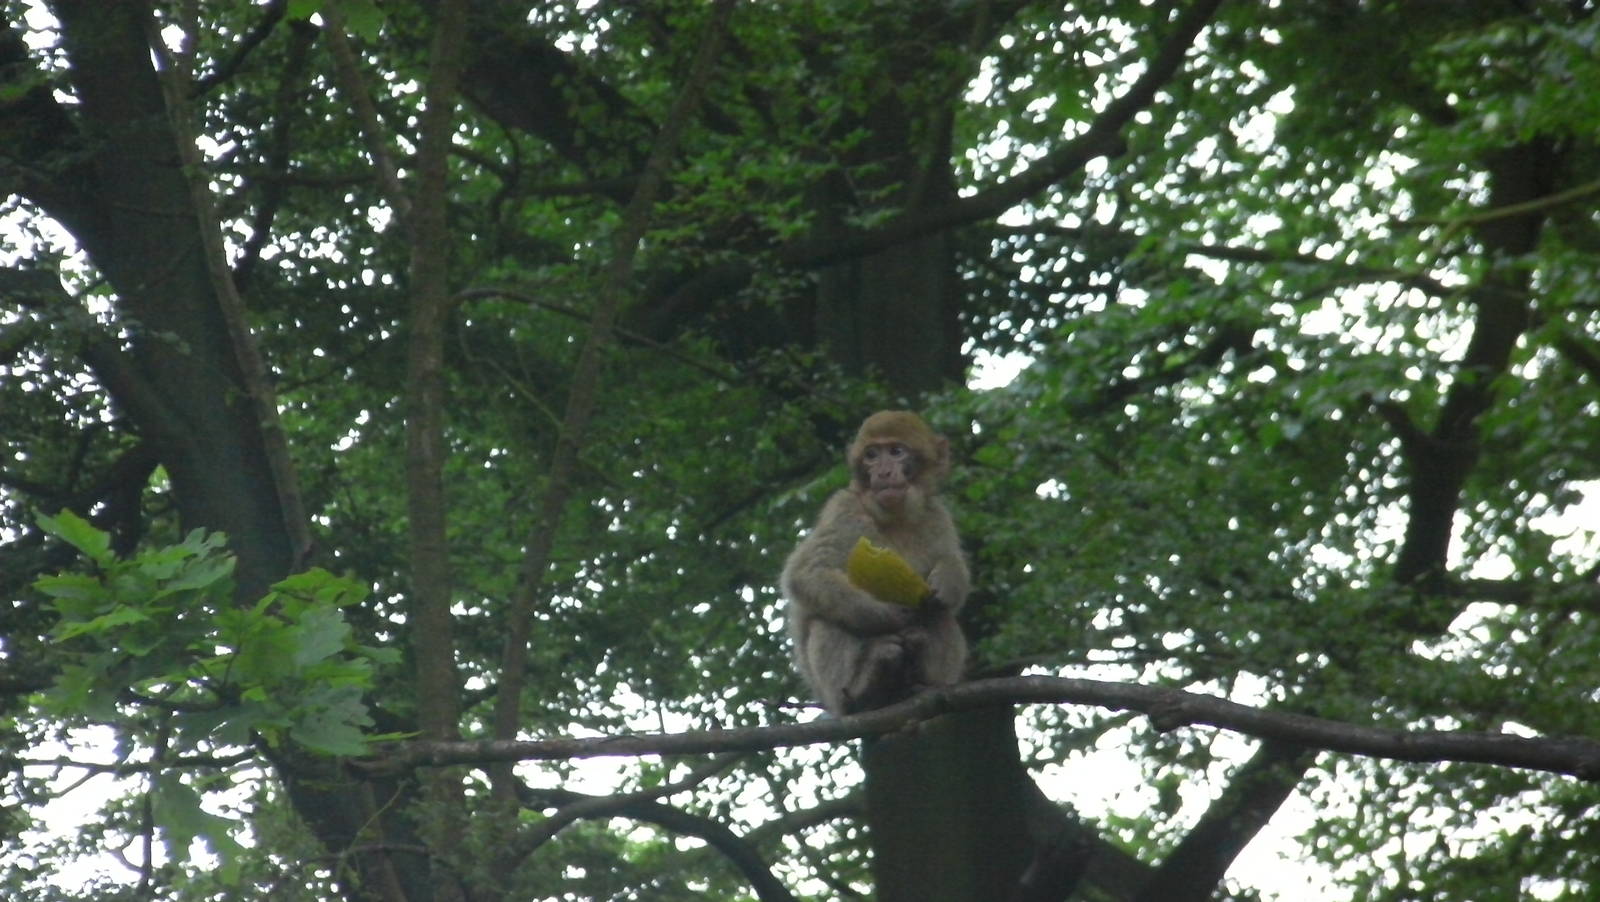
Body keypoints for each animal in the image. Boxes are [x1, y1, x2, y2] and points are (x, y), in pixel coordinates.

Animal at [781, 411, 969, 715]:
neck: (897, 516)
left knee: (939, 614)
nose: (882, 472)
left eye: (895, 451)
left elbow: (949, 559)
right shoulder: (844, 509)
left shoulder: (936, 513)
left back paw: (925, 680)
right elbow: (807, 572)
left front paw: (949, 580)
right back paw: (865, 689)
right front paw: (884, 614)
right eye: (871, 455)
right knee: (826, 619)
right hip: (833, 694)